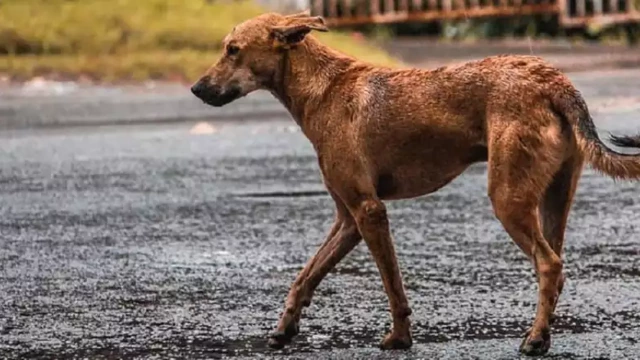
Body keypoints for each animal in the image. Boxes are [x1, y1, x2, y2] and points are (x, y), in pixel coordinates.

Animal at [190, 9, 640, 356]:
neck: (322, 88)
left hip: (507, 199)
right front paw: (285, 328)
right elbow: (305, 276)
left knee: (548, 264)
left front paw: (400, 337)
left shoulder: (369, 212)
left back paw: (533, 340)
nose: (196, 88)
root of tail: (554, 80)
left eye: (233, 50)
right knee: (557, 267)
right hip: (552, 199)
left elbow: (393, 287)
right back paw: (542, 334)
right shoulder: (347, 220)